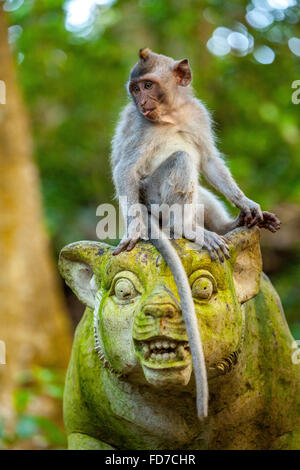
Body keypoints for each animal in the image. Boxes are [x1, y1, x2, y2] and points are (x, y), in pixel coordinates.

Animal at [109, 49, 278, 420]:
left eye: (147, 85)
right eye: (135, 89)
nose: (141, 101)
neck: (171, 115)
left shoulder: (198, 114)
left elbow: (211, 161)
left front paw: (248, 204)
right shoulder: (140, 128)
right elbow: (126, 169)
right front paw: (133, 230)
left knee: (199, 183)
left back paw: (229, 226)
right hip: (153, 197)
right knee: (182, 160)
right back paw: (186, 229)